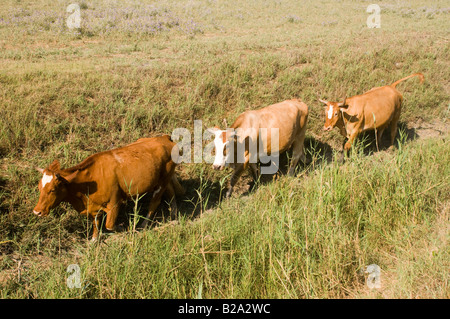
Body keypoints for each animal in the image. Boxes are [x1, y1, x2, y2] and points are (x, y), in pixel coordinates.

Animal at [33, 134, 185, 241]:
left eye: (52, 189)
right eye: (39, 188)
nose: (37, 212)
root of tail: (164, 138)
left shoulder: (114, 204)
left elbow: (109, 225)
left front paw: (123, 227)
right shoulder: (93, 208)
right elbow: (96, 223)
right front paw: (94, 240)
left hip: (162, 182)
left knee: (154, 203)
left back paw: (144, 224)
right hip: (164, 179)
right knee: (171, 192)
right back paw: (174, 214)